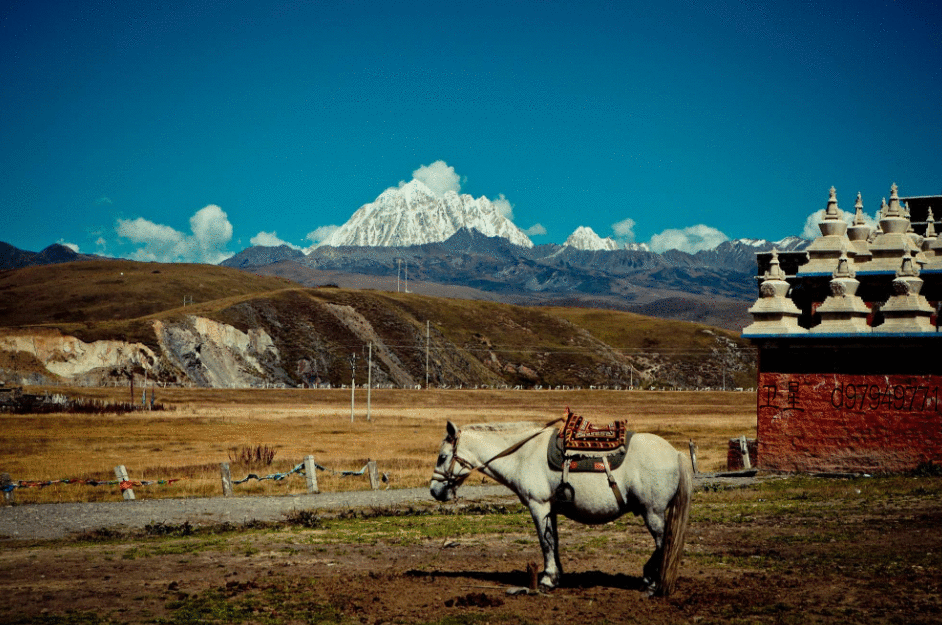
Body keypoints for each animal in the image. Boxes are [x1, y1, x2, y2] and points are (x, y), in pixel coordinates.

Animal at [434, 420, 692, 596]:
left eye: (442, 457)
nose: (434, 490)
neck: (523, 455)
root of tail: (676, 453)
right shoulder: (551, 509)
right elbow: (554, 541)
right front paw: (556, 576)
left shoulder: (538, 506)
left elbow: (545, 542)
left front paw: (547, 580)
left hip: (653, 513)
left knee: (663, 543)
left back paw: (652, 582)